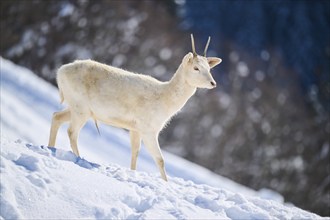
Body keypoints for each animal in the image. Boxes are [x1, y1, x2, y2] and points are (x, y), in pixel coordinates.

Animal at [47, 34, 222, 180]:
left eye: (209, 68)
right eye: (196, 68)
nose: (213, 83)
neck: (165, 102)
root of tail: (60, 72)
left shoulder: (135, 128)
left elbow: (135, 152)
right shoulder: (148, 129)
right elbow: (160, 159)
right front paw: (165, 183)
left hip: (78, 107)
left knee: (56, 116)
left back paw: (51, 148)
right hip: (81, 107)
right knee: (72, 131)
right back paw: (79, 158)